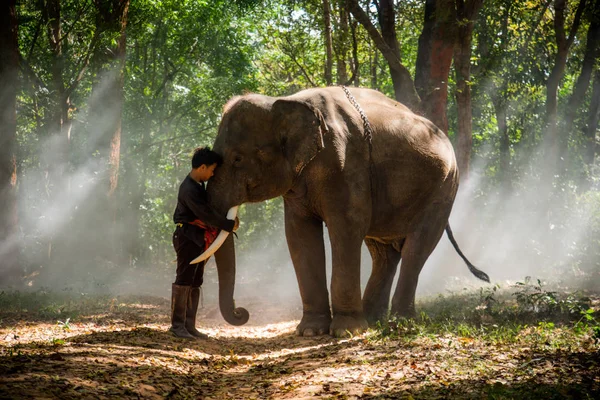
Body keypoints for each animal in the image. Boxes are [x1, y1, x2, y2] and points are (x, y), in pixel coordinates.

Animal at [204, 86, 490, 336]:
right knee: (384, 254)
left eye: (237, 159)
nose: (242, 312)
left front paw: (345, 331)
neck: (287, 101)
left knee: (416, 249)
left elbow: (347, 227)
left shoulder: (346, 162)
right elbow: (299, 235)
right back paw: (373, 319)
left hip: (443, 189)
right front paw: (310, 331)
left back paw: (399, 323)